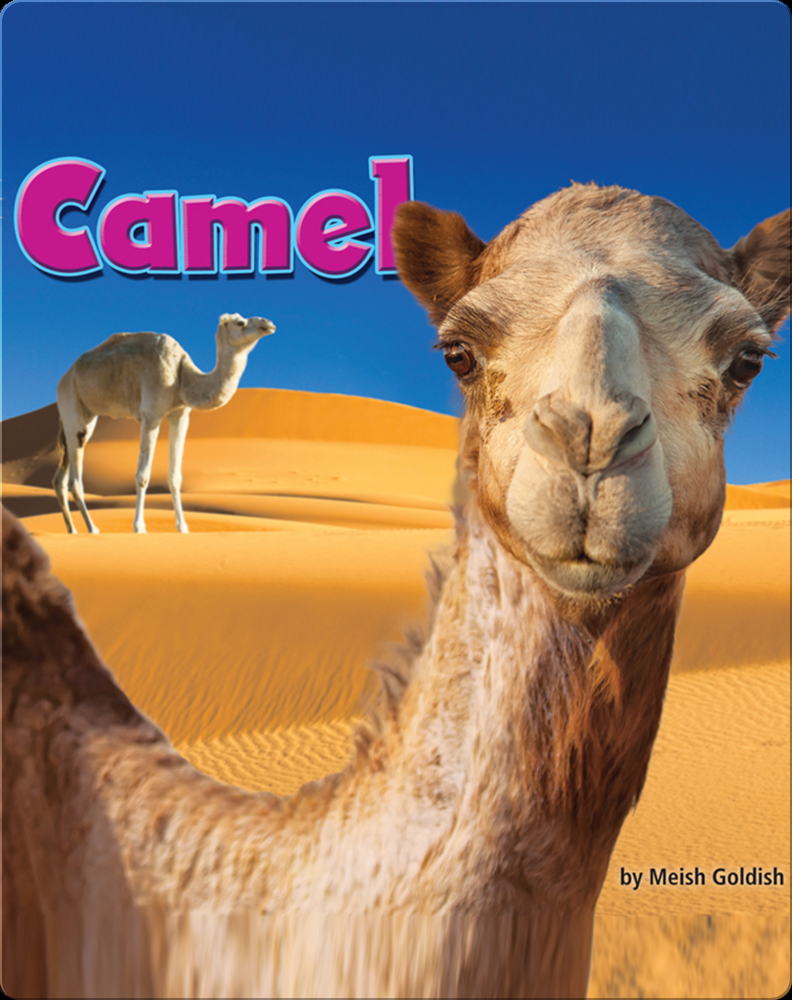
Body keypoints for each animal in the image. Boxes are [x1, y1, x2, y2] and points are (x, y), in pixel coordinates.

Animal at [52, 312, 275, 534]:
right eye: (240, 322)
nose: (268, 323)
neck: (182, 375)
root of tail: (64, 376)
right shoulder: (151, 414)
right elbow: (142, 475)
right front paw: (139, 527)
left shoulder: (181, 414)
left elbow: (175, 476)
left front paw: (183, 527)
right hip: (70, 400)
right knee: (75, 479)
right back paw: (92, 528)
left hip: (87, 417)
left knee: (61, 476)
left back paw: (73, 530)